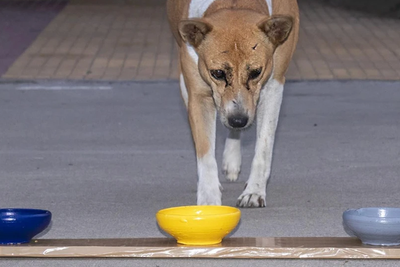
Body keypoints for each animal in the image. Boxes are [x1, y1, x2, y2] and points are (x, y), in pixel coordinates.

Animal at [165, 0, 296, 208]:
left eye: (256, 72)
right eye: (217, 73)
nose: (238, 120)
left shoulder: (273, 86)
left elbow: (264, 146)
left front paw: (254, 191)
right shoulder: (199, 94)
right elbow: (205, 151)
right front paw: (209, 199)